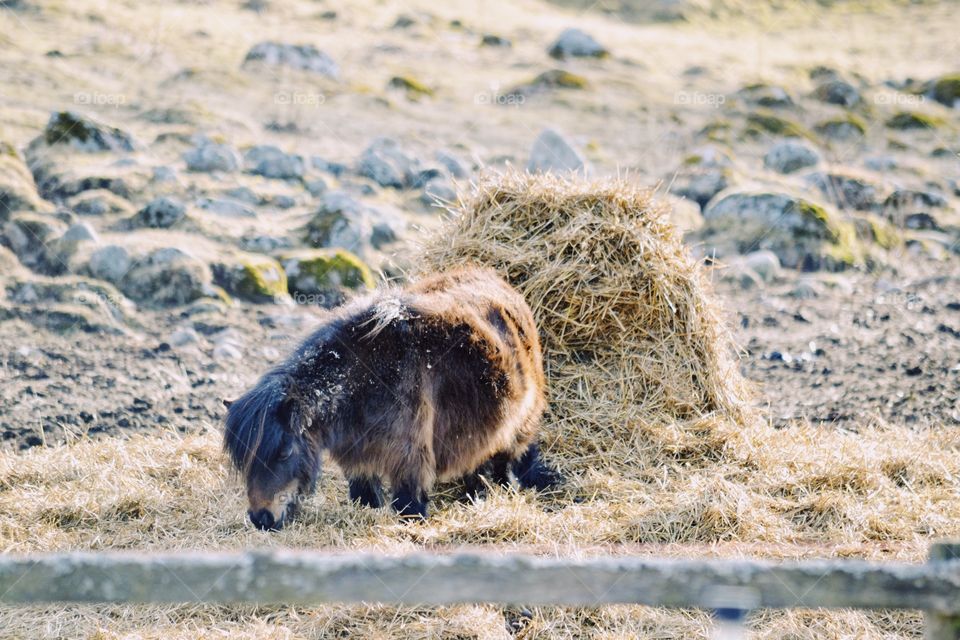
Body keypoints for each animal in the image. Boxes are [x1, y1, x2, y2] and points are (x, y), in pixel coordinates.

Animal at [222, 266, 560, 528]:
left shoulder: (409, 461)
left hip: (521, 426)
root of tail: (502, 285)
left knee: (511, 461)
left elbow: (409, 506)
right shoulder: (359, 460)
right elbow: (366, 498)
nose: (261, 519)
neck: (366, 379)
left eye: (284, 453)